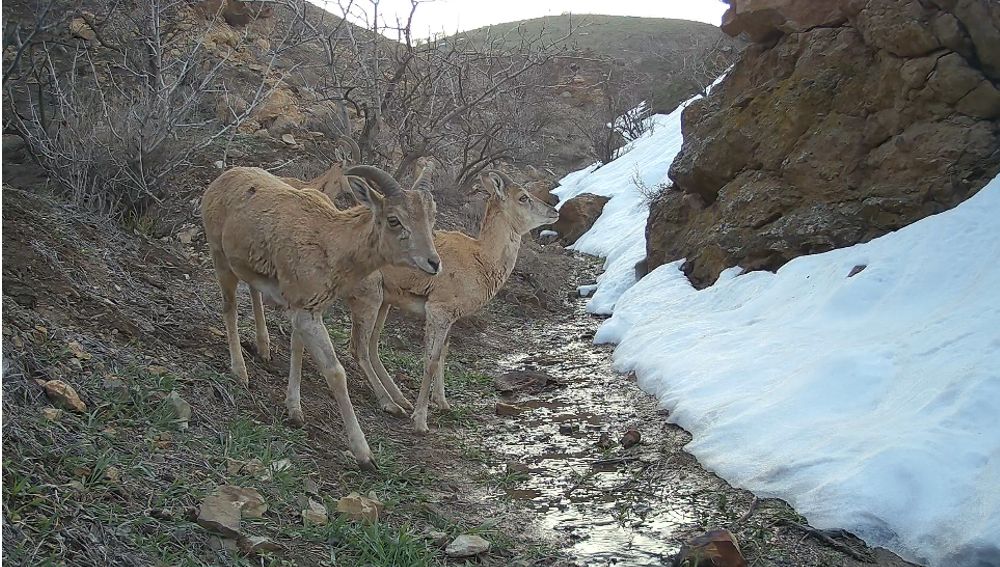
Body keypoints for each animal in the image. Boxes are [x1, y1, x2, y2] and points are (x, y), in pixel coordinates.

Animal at [201, 164, 440, 470]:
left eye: (431, 218)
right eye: (394, 220)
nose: (433, 262)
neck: (330, 243)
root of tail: (219, 181)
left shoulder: (306, 308)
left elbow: (297, 348)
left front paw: (294, 410)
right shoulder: (307, 314)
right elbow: (335, 372)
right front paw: (364, 455)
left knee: (253, 291)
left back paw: (263, 348)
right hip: (220, 259)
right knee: (229, 308)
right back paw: (240, 371)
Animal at [348, 171, 560, 432]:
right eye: (523, 197)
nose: (554, 211)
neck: (480, 259)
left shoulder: (450, 318)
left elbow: (443, 354)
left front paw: (442, 403)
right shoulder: (438, 310)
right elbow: (430, 360)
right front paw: (421, 421)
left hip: (383, 302)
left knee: (371, 346)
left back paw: (401, 400)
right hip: (370, 296)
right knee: (358, 348)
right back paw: (391, 405)